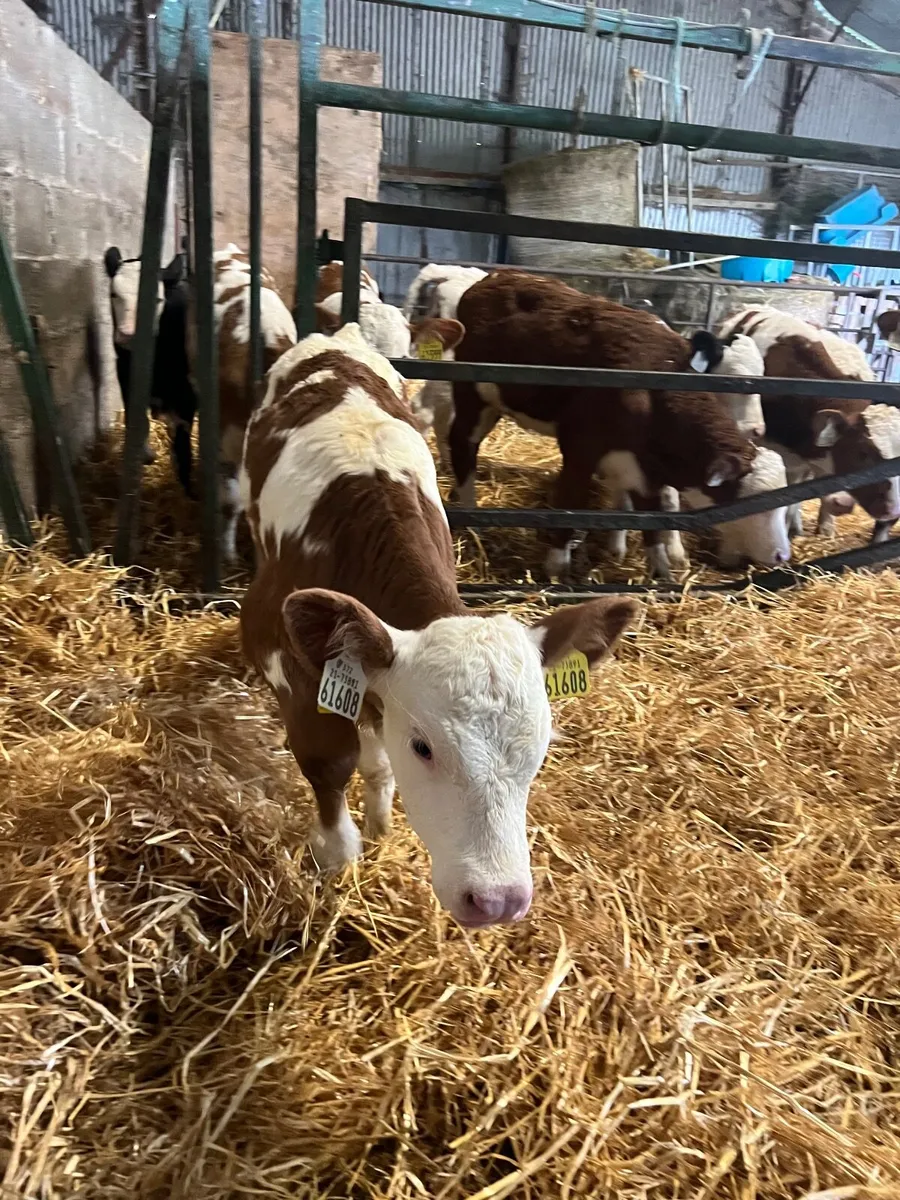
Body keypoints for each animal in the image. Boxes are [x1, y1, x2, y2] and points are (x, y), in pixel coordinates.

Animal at [238, 322, 638, 927]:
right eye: (424, 747)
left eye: (541, 746)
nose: (497, 900)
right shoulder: (275, 645)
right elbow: (330, 759)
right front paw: (336, 857)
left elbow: (375, 748)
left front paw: (380, 821)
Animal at [450, 272, 789, 579]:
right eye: (750, 503)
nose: (782, 556)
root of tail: (493, 278)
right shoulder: (581, 450)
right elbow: (572, 501)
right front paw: (558, 566)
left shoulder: (642, 466)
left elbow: (652, 517)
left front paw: (661, 570)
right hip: (471, 397)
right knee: (462, 444)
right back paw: (469, 516)